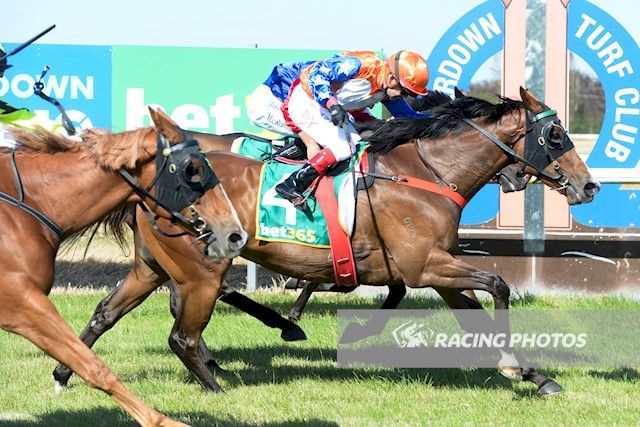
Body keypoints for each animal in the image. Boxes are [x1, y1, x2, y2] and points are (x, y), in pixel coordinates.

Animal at [0, 109, 247, 426]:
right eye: (192, 169)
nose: (235, 233)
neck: (28, 205)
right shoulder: (22, 302)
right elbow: (94, 367)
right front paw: (161, 420)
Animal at [53, 88, 599, 397]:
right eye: (555, 134)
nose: (590, 185)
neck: (425, 172)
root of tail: (151, 177)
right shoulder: (425, 264)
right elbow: (498, 284)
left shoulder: (434, 268)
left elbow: (469, 310)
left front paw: (532, 374)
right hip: (201, 267)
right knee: (182, 332)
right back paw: (221, 381)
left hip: (152, 265)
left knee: (107, 312)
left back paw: (65, 373)